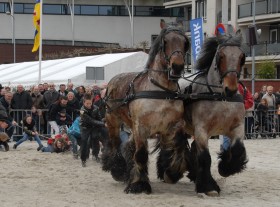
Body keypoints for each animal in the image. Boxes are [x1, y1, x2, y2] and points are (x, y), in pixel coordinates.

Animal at [100, 26, 190, 194]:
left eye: (185, 42)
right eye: (165, 42)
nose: (177, 66)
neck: (161, 92)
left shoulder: (172, 127)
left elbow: (177, 146)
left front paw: (172, 172)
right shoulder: (141, 127)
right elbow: (141, 155)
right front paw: (139, 184)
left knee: (129, 146)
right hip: (113, 120)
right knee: (115, 143)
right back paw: (118, 169)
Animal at [177, 31, 247, 196]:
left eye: (242, 57)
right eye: (221, 56)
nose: (231, 89)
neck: (220, 98)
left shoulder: (237, 127)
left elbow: (237, 149)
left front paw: (226, 168)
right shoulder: (201, 129)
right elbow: (205, 157)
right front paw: (209, 187)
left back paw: (194, 174)